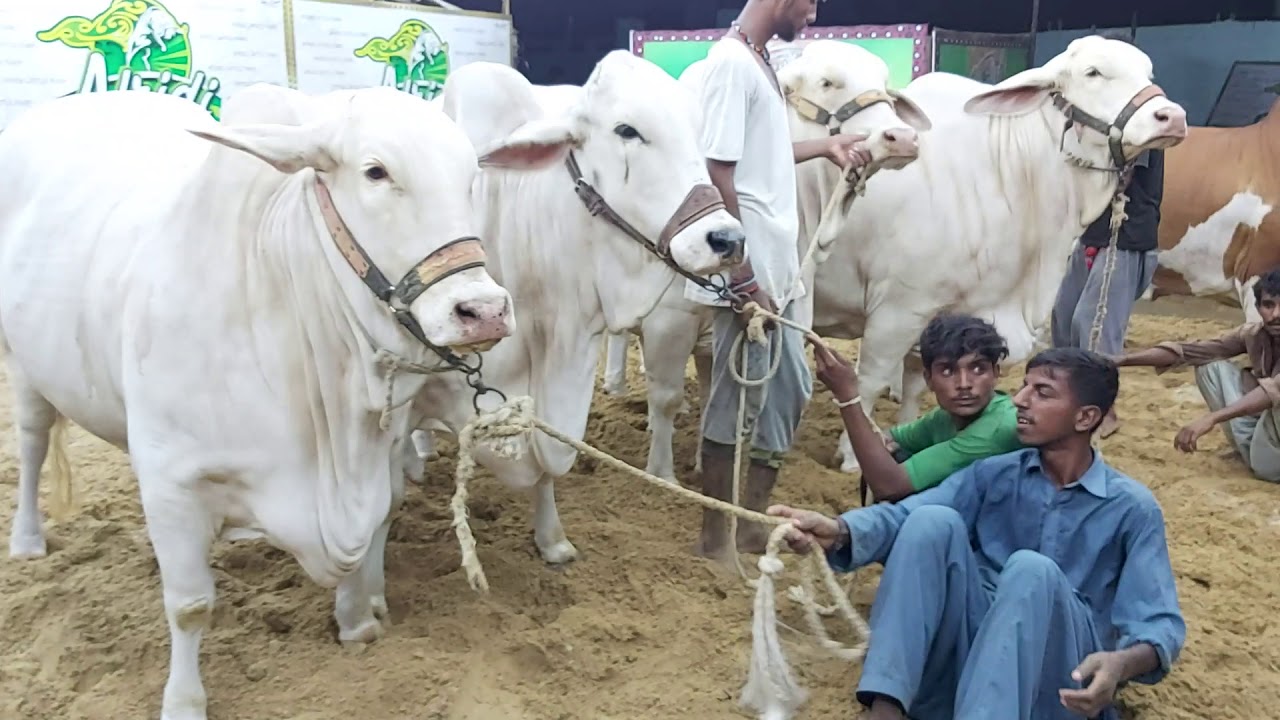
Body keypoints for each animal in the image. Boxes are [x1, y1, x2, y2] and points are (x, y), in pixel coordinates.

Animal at [0, 86, 563, 720]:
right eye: (375, 171)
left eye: (471, 176)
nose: (483, 311)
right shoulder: (171, 484)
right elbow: (190, 605)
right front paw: (184, 701)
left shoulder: (382, 454)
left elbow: (374, 529)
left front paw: (358, 622)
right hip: (23, 364)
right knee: (32, 442)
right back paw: (27, 540)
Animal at [598, 39, 931, 481]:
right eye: (827, 82)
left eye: (884, 82)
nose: (902, 138)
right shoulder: (669, 321)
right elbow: (665, 397)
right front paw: (662, 473)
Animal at [809, 35, 1188, 472]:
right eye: (1093, 72)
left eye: (1148, 73)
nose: (1172, 117)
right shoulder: (900, 307)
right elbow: (868, 381)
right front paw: (853, 458)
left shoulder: (935, 315)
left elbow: (918, 380)